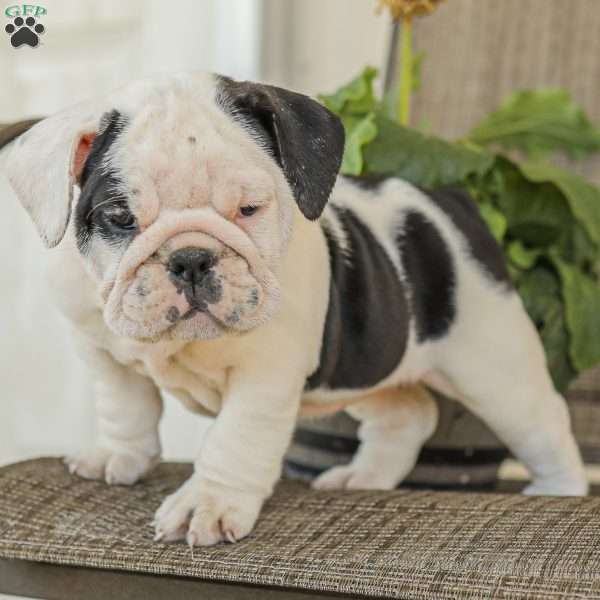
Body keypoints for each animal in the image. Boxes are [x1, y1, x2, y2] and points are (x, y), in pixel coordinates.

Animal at [0, 72, 588, 548]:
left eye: (249, 209)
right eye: (121, 218)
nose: (191, 258)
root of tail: (452, 202)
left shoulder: (267, 376)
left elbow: (235, 439)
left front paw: (206, 503)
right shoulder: (100, 348)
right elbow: (125, 403)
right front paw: (119, 456)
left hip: (495, 367)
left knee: (544, 425)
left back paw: (557, 491)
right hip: (368, 367)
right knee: (409, 413)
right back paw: (362, 476)